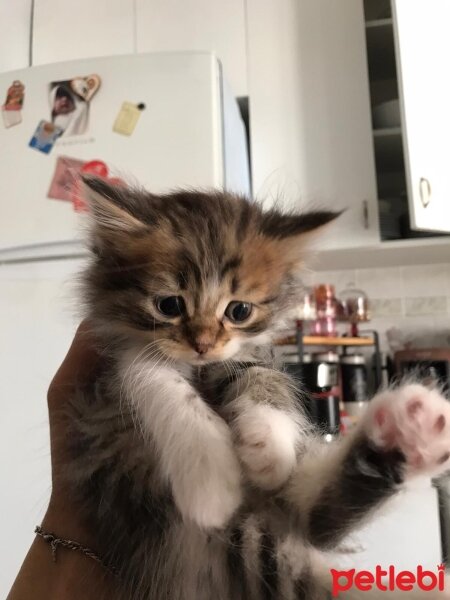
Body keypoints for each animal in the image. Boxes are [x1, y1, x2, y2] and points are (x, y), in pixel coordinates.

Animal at [65, 176, 450, 596]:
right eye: (169, 305)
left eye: (239, 311)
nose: (203, 345)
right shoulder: (113, 367)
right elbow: (158, 379)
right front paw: (209, 480)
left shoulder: (251, 352)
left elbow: (263, 378)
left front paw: (268, 444)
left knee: (316, 525)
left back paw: (408, 432)